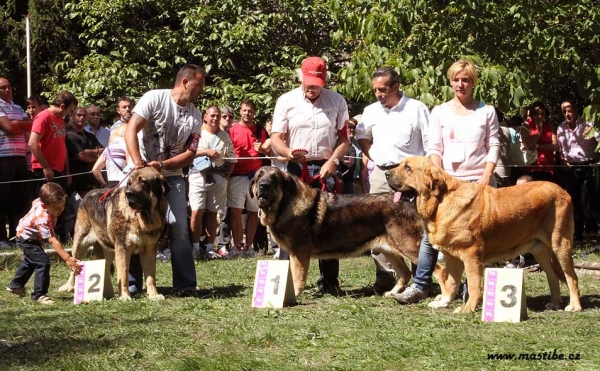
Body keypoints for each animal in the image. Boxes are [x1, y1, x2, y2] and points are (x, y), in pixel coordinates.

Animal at [59, 167, 170, 300]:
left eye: (143, 182)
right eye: (129, 183)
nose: (128, 193)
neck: (142, 219)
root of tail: (87, 194)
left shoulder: (149, 250)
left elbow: (150, 277)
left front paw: (154, 295)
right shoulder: (122, 249)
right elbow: (123, 275)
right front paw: (125, 297)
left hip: (109, 249)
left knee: (105, 267)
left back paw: (107, 293)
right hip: (80, 243)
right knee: (74, 264)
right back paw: (69, 286)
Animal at [250, 167, 450, 300]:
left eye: (274, 178)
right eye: (260, 175)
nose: (263, 186)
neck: (285, 204)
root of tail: (408, 201)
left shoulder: (299, 254)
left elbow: (297, 277)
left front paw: (294, 295)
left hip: (408, 247)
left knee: (439, 270)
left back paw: (444, 298)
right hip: (389, 249)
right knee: (404, 274)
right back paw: (391, 293)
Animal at [384, 156, 580, 314]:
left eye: (407, 168)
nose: (386, 173)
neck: (441, 202)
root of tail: (563, 190)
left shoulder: (471, 255)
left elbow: (473, 284)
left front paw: (468, 308)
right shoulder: (452, 257)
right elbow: (451, 282)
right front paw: (444, 302)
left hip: (560, 244)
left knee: (571, 277)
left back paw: (574, 306)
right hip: (540, 251)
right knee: (552, 276)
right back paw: (555, 303)